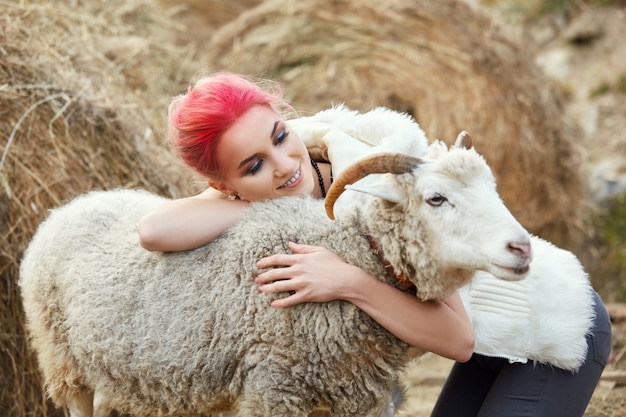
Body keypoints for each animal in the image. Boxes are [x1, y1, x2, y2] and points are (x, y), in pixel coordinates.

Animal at [17, 132, 528, 416]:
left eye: (493, 187)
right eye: (436, 198)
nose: (521, 248)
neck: (350, 250)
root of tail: (75, 203)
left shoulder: (360, 395)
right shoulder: (274, 387)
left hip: (122, 370)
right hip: (64, 362)